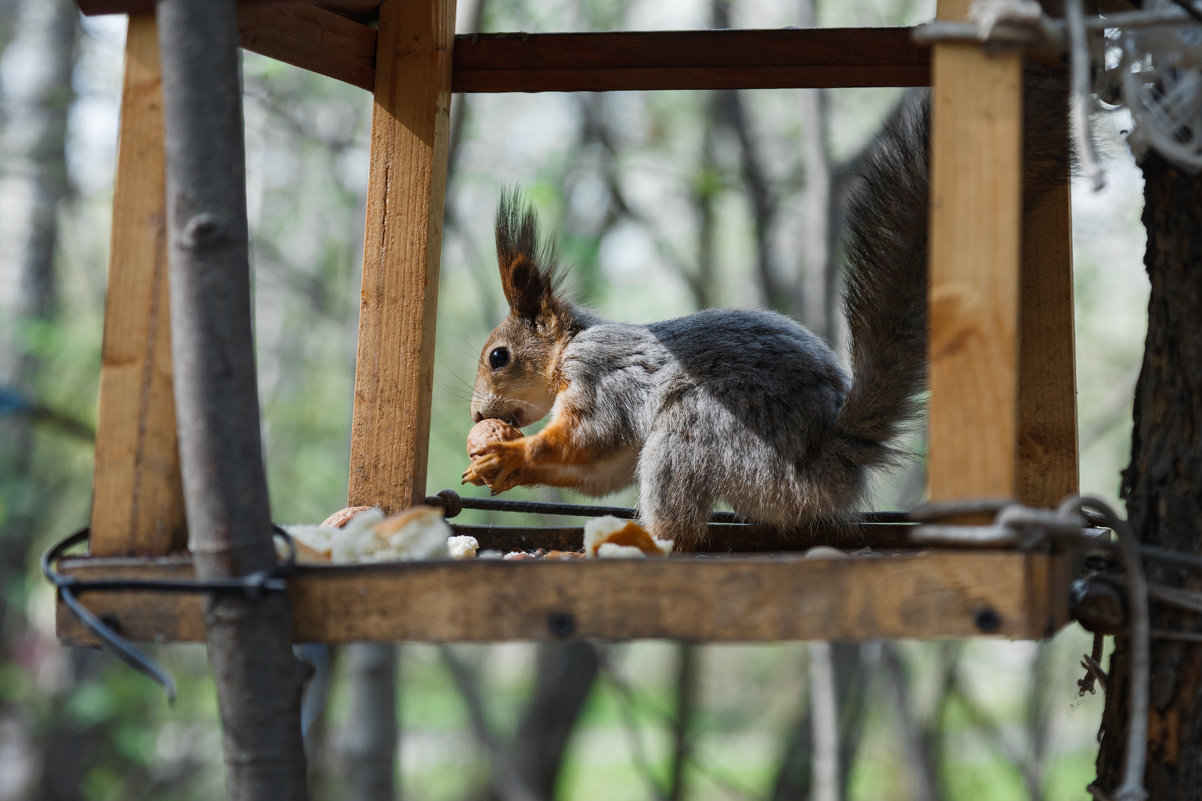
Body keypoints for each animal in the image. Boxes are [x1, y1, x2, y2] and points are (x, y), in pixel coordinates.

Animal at [461, 70, 1072, 548]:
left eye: (498, 356)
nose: (476, 415)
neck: (569, 347)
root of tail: (831, 464)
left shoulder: (601, 373)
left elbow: (593, 434)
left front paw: (512, 454)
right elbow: (600, 467)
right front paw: (504, 469)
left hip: (713, 436)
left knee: (682, 524)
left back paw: (646, 544)